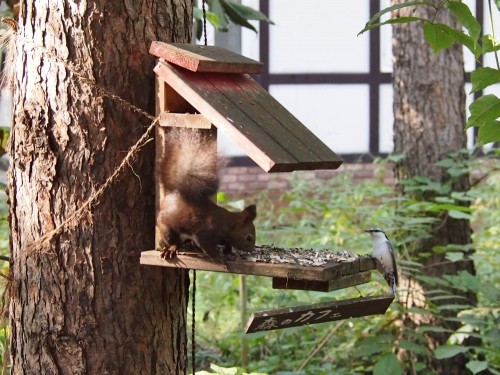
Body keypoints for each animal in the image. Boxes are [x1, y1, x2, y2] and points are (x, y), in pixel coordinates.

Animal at [156, 128, 258, 262]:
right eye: (249, 238)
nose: (251, 250)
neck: (227, 223)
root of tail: (172, 194)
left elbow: (225, 242)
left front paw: (228, 250)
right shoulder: (206, 231)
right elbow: (206, 245)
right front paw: (219, 258)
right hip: (167, 227)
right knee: (173, 240)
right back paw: (172, 248)